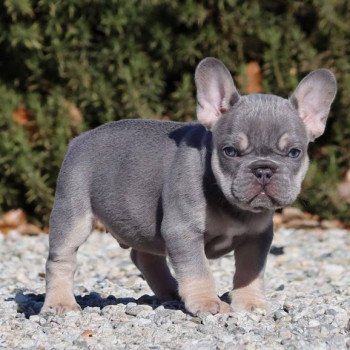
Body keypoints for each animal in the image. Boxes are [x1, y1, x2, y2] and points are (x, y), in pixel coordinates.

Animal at [42, 58, 338, 318]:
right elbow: (198, 269)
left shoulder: (257, 237)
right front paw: (208, 303)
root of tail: (79, 139)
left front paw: (250, 303)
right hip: (73, 213)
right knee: (61, 260)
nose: (263, 169)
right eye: (230, 151)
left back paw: (172, 292)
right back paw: (60, 303)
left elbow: (249, 272)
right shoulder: (183, 230)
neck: (227, 201)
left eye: (294, 153)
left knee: (145, 256)